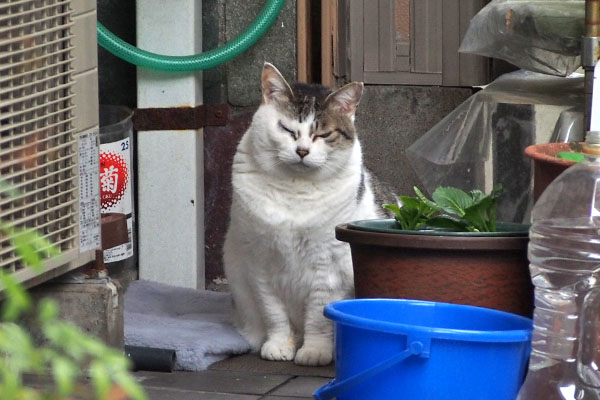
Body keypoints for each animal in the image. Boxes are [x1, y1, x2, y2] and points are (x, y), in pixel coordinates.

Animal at [224, 61, 384, 366]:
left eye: (323, 134)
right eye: (287, 129)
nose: (302, 151)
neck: (294, 190)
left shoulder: (328, 265)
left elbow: (319, 315)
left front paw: (315, 352)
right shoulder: (259, 261)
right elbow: (273, 312)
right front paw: (278, 345)